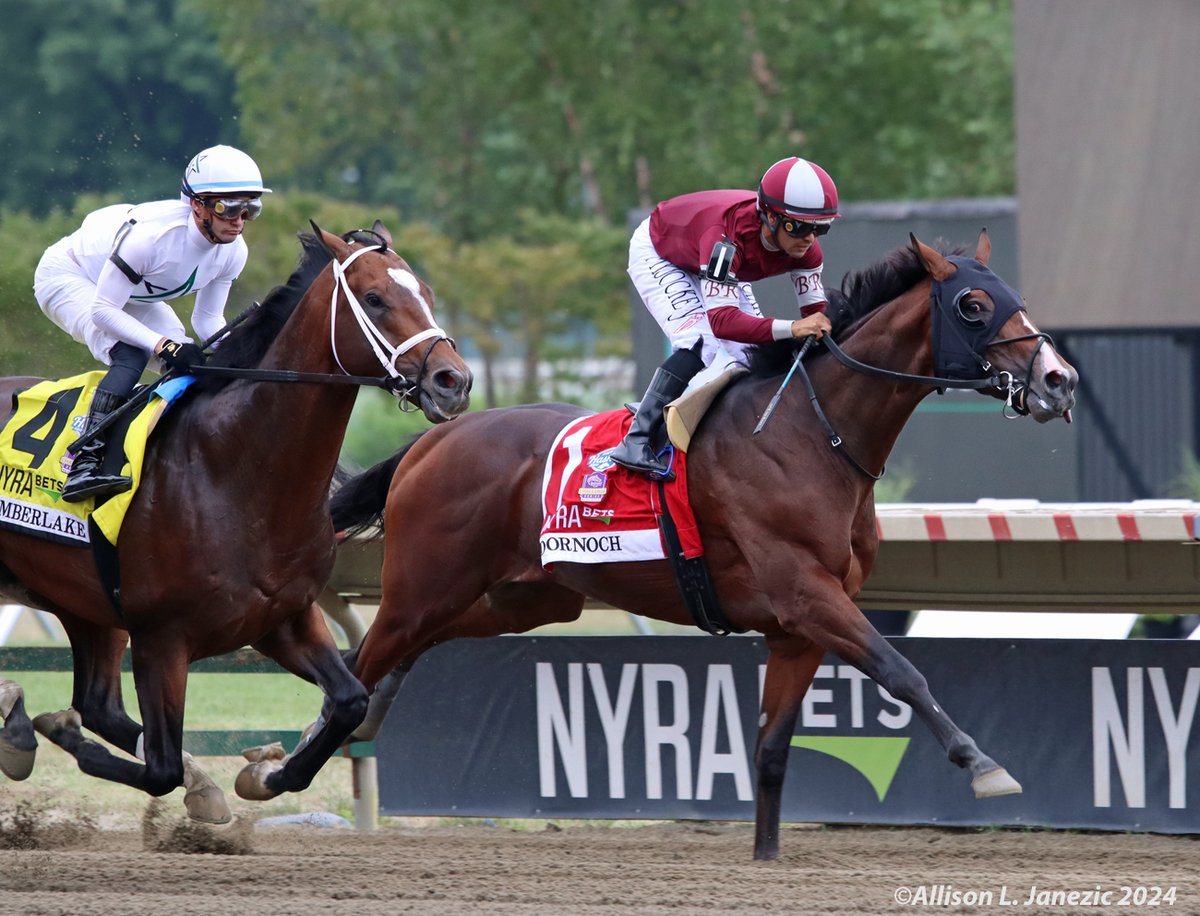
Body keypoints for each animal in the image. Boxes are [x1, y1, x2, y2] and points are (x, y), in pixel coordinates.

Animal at [0, 220, 471, 819]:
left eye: (426, 294)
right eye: (374, 298)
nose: (453, 381)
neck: (234, 470)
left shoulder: (284, 618)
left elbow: (350, 702)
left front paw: (264, 774)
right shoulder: (161, 639)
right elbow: (161, 767)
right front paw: (50, 731)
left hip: (81, 602)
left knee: (99, 703)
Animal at [237, 231, 1077, 858]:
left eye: (1012, 296)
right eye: (973, 304)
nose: (1060, 380)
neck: (811, 435)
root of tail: (431, 442)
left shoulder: (799, 623)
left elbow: (773, 746)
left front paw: (766, 856)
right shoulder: (809, 594)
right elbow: (902, 671)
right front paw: (984, 765)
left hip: (525, 598)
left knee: (377, 659)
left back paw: (309, 742)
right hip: (426, 585)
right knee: (365, 660)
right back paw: (274, 776)